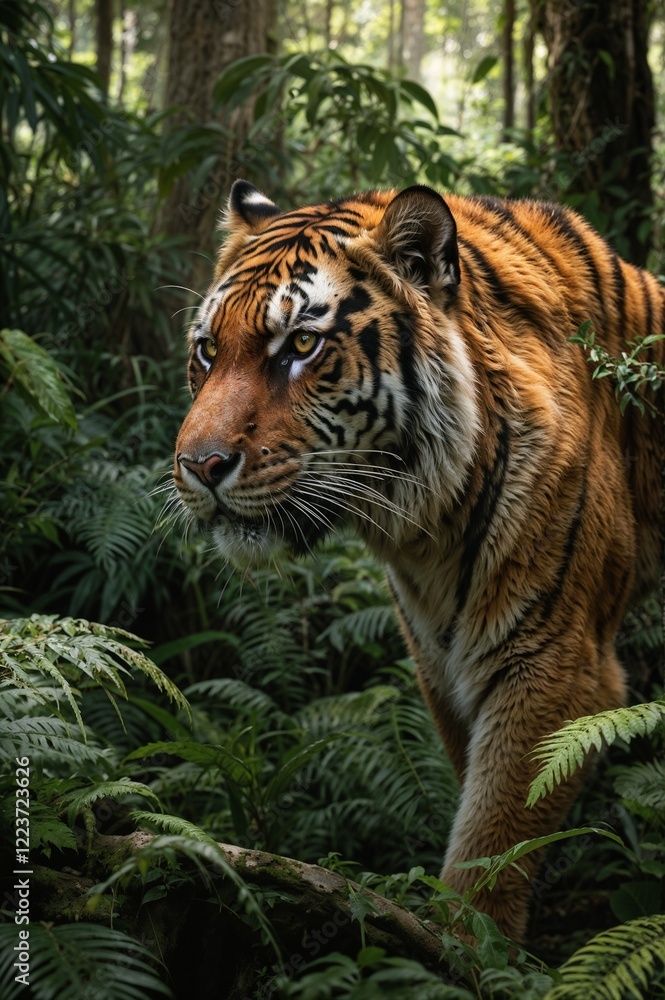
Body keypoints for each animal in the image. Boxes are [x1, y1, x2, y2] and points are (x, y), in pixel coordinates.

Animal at [173, 179, 664, 942]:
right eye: (205, 350)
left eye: (302, 344)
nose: (198, 466)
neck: (428, 519)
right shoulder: (440, 659)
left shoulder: (554, 662)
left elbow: (494, 838)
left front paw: (467, 947)